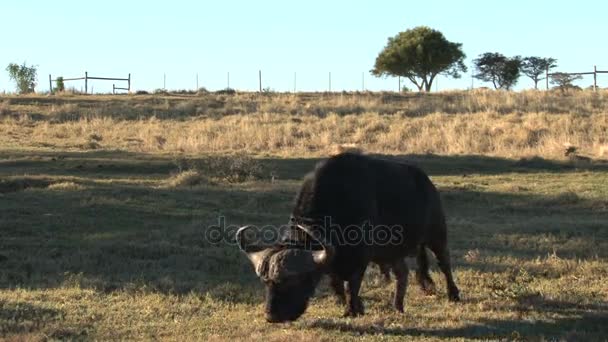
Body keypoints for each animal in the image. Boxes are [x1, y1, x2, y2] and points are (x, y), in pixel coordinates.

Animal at [238, 152, 460, 324]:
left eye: (292, 281)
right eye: (266, 282)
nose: (272, 316)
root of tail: (426, 182)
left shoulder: (359, 258)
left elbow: (351, 284)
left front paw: (352, 310)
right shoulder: (334, 260)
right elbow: (336, 283)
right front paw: (352, 305)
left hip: (436, 234)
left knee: (444, 263)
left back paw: (453, 294)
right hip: (392, 252)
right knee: (402, 273)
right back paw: (397, 306)